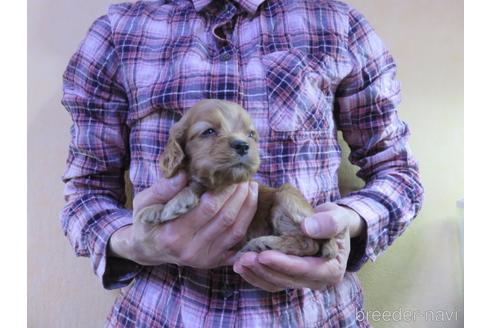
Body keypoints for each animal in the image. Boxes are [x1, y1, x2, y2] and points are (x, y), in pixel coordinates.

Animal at [136, 98, 340, 258]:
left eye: (250, 134)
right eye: (208, 131)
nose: (243, 145)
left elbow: (200, 186)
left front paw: (176, 202)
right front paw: (154, 208)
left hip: (287, 197)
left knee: (308, 243)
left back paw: (264, 243)